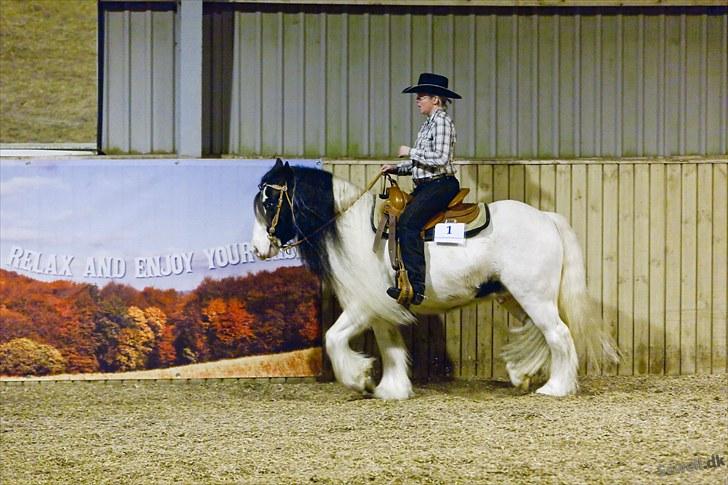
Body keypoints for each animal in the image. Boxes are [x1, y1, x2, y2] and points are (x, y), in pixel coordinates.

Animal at [253, 159, 616, 398]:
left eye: (270, 201)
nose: (258, 249)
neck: (352, 228)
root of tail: (546, 218)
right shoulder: (381, 309)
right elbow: (390, 346)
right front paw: (391, 388)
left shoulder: (361, 306)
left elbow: (333, 338)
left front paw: (359, 377)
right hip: (514, 296)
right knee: (540, 333)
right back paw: (523, 375)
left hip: (534, 296)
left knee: (559, 335)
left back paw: (556, 388)